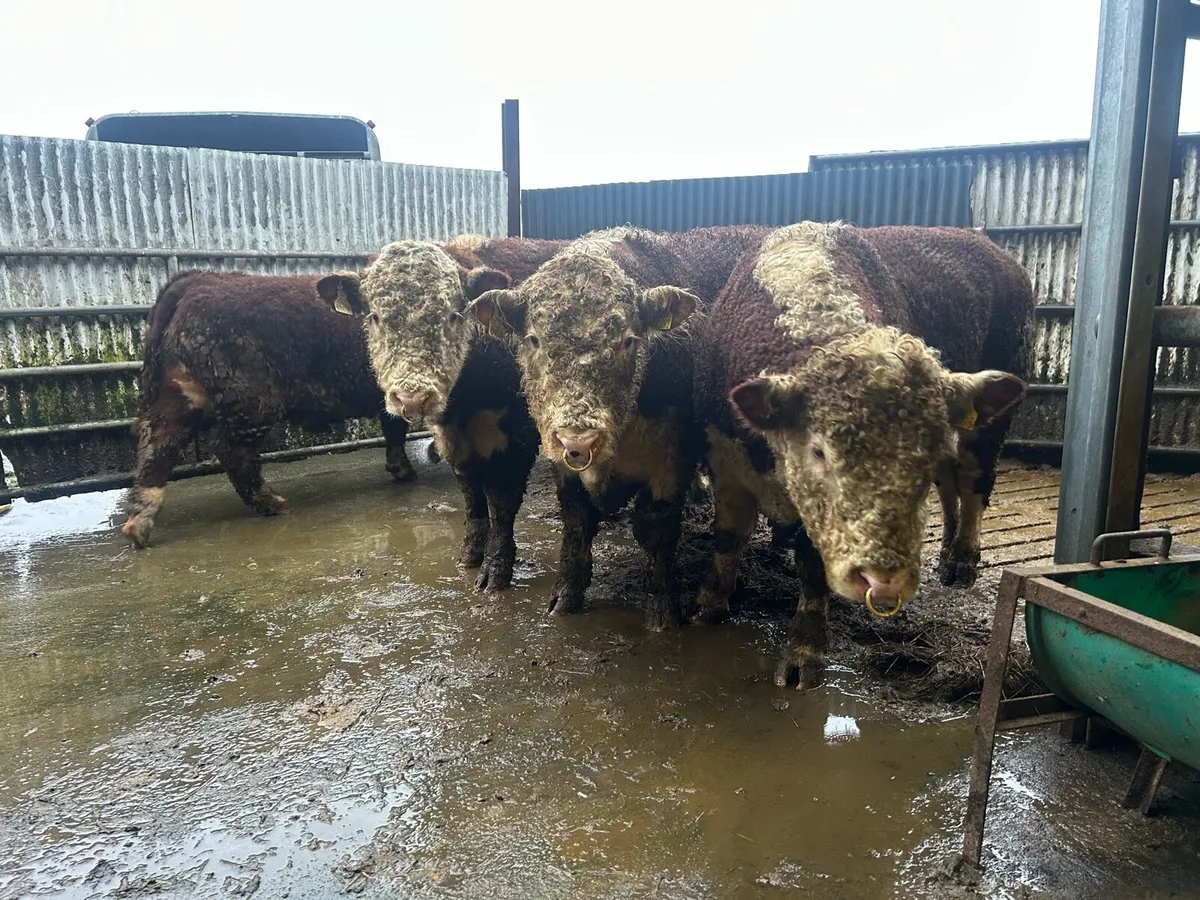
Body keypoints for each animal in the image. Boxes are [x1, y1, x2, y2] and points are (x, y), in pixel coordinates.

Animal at [121, 271, 414, 548]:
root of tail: (195, 280)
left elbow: (394, 426)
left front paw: (401, 469)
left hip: (178, 393)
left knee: (158, 441)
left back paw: (139, 526)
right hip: (253, 401)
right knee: (230, 450)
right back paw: (274, 503)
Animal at [314, 235, 567, 593]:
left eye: (453, 315)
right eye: (374, 316)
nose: (413, 396)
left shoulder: (516, 434)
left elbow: (501, 501)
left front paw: (496, 571)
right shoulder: (454, 440)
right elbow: (472, 497)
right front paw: (470, 556)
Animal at [466, 226, 771, 631]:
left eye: (628, 340)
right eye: (534, 339)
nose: (580, 439)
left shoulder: (669, 462)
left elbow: (658, 530)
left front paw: (663, 612)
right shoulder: (564, 466)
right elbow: (576, 524)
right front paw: (566, 596)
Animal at [693, 222, 1034, 690]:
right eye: (818, 450)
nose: (884, 578)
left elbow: (812, 566)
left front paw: (804, 653)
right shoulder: (724, 460)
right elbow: (727, 538)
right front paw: (708, 606)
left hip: (992, 420)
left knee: (975, 481)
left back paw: (963, 560)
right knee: (950, 484)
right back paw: (945, 554)